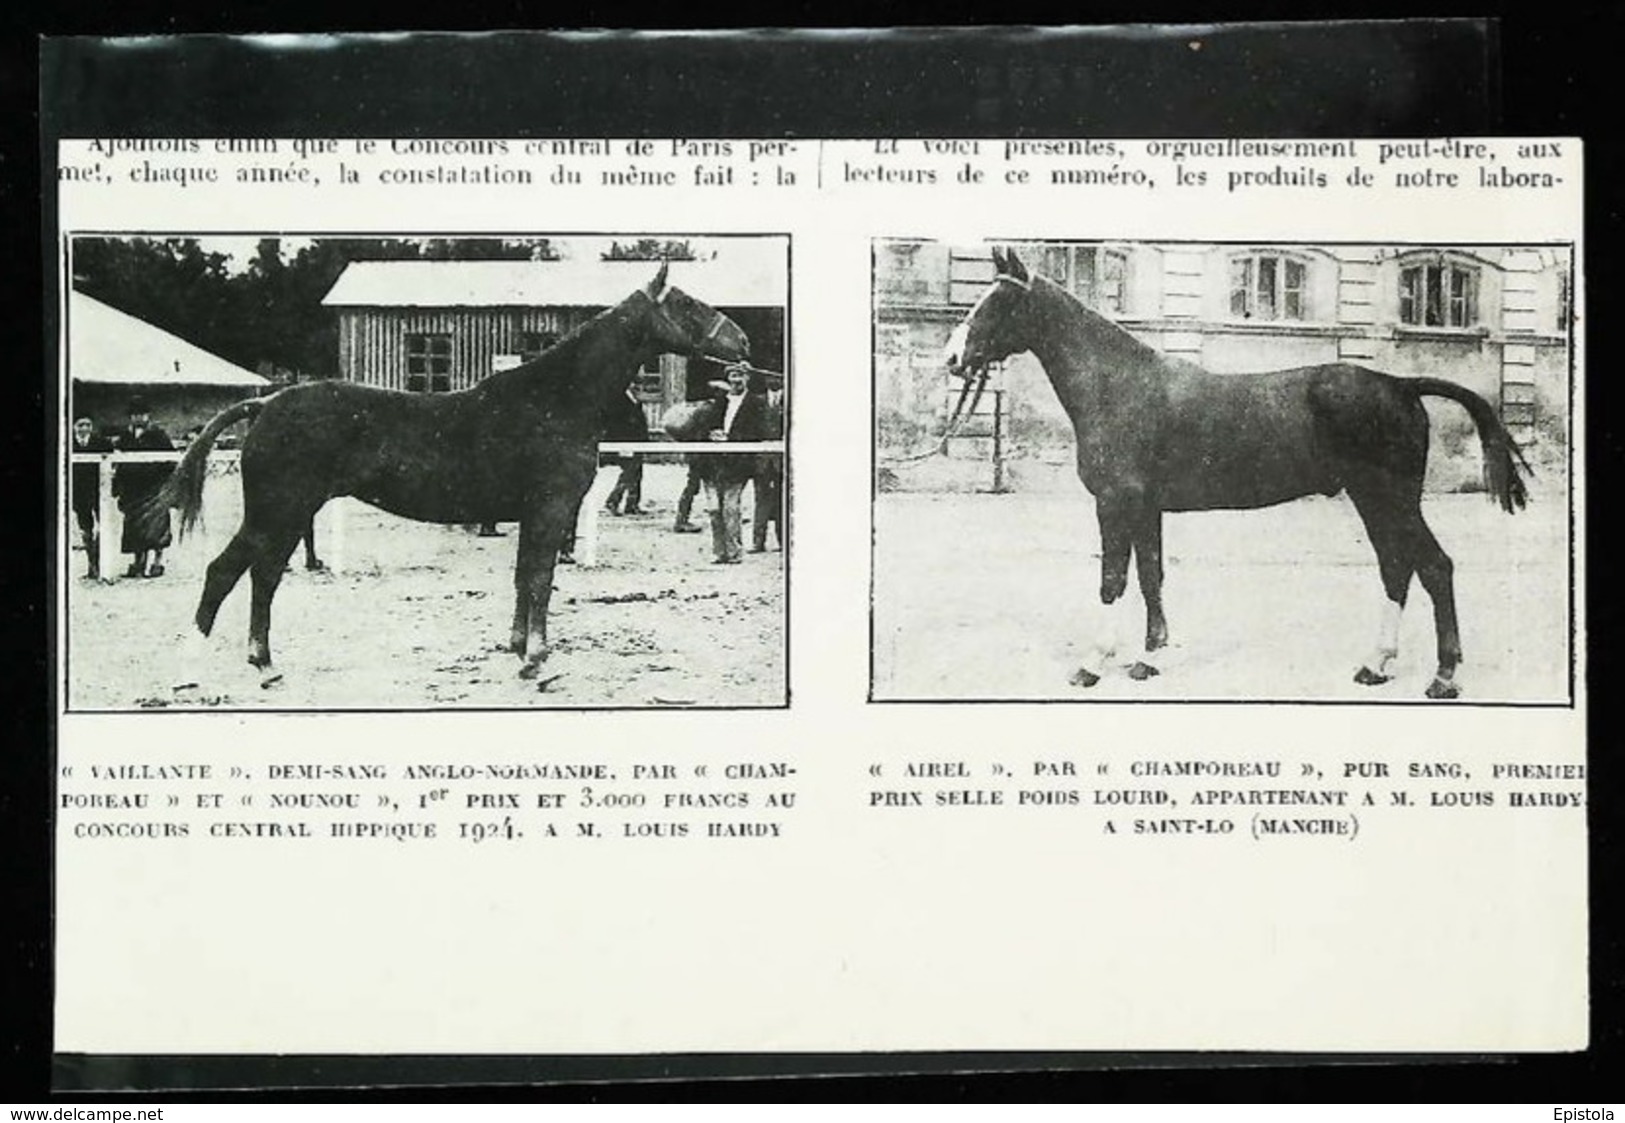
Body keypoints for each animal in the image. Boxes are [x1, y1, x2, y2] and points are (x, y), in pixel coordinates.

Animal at [146, 263, 747, 685]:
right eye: (687, 303)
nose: (742, 342)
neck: (554, 399)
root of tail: (267, 402)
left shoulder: (533, 515)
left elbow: (525, 578)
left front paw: (518, 648)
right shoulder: (550, 510)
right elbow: (540, 579)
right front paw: (537, 660)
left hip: (288, 513)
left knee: (261, 576)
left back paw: (263, 664)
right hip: (280, 509)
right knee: (228, 572)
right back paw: (195, 670)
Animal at [949, 250, 1527, 698]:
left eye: (997, 302)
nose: (954, 358)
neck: (1121, 386)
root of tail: (1400, 385)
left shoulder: (1114, 502)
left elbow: (1113, 579)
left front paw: (1093, 664)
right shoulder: (1145, 507)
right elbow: (1151, 575)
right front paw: (1150, 656)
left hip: (1390, 499)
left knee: (1433, 567)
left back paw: (1443, 676)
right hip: (1374, 501)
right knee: (1397, 568)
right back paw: (1376, 663)